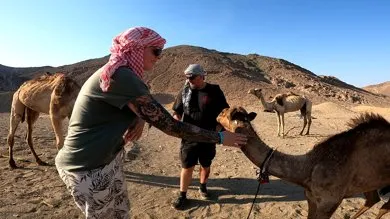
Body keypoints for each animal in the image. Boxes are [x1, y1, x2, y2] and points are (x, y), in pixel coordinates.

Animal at [216, 106, 390, 219]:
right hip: (369, 181)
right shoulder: (311, 198)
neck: (308, 167)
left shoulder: (329, 202)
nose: (217, 114)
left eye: (225, 113)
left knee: (382, 206)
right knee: (374, 200)